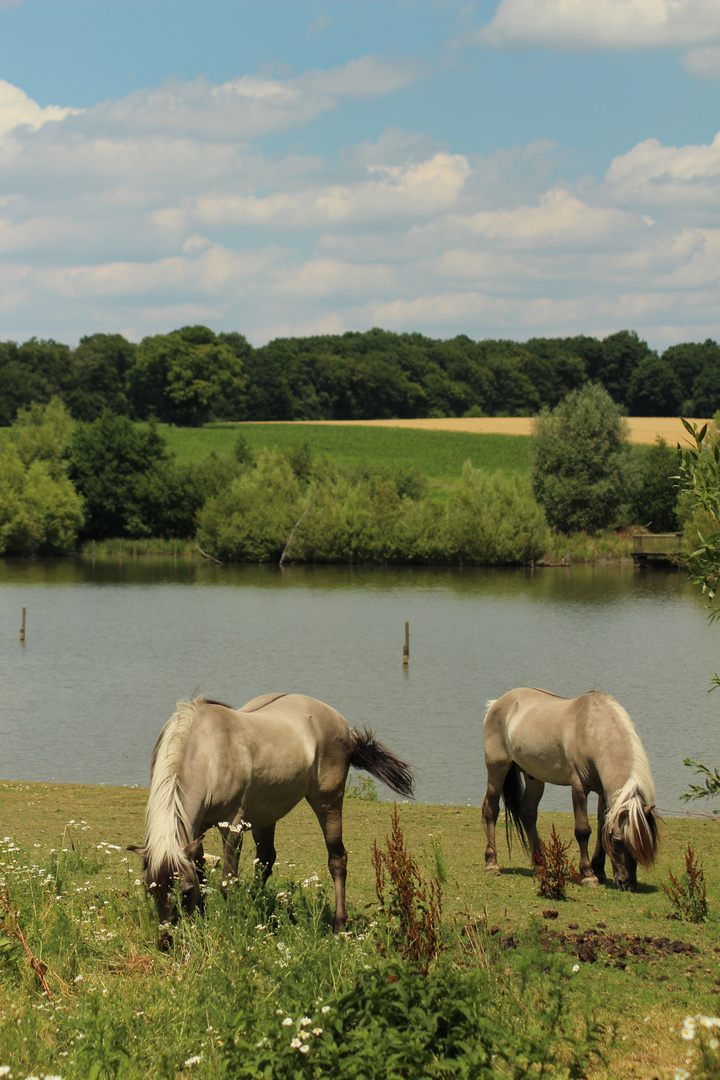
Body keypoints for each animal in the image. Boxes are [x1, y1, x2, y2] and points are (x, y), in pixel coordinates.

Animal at [126, 695, 414, 941]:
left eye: (184, 891)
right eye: (151, 890)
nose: (167, 941)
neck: (208, 753)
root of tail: (340, 723)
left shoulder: (232, 825)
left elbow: (228, 882)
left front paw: (231, 926)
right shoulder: (196, 830)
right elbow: (202, 875)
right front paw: (203, 920)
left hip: (328, 802)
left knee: (337, 860)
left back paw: (339, 927)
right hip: (265, 815)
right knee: (265, 860)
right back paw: (255, 907)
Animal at [481, 686, 660, 889]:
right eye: (617, 840)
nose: (627, 883)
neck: (593, 730)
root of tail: (496, 703)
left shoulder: (602, 792)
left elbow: (601, 826)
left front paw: (599, 870)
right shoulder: (579, 786)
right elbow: (583, 830)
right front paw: (588, 875)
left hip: (533, 776)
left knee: (528, 814)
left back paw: (540, 866)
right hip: (497, 768)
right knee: (491, 809)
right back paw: (492, 863)